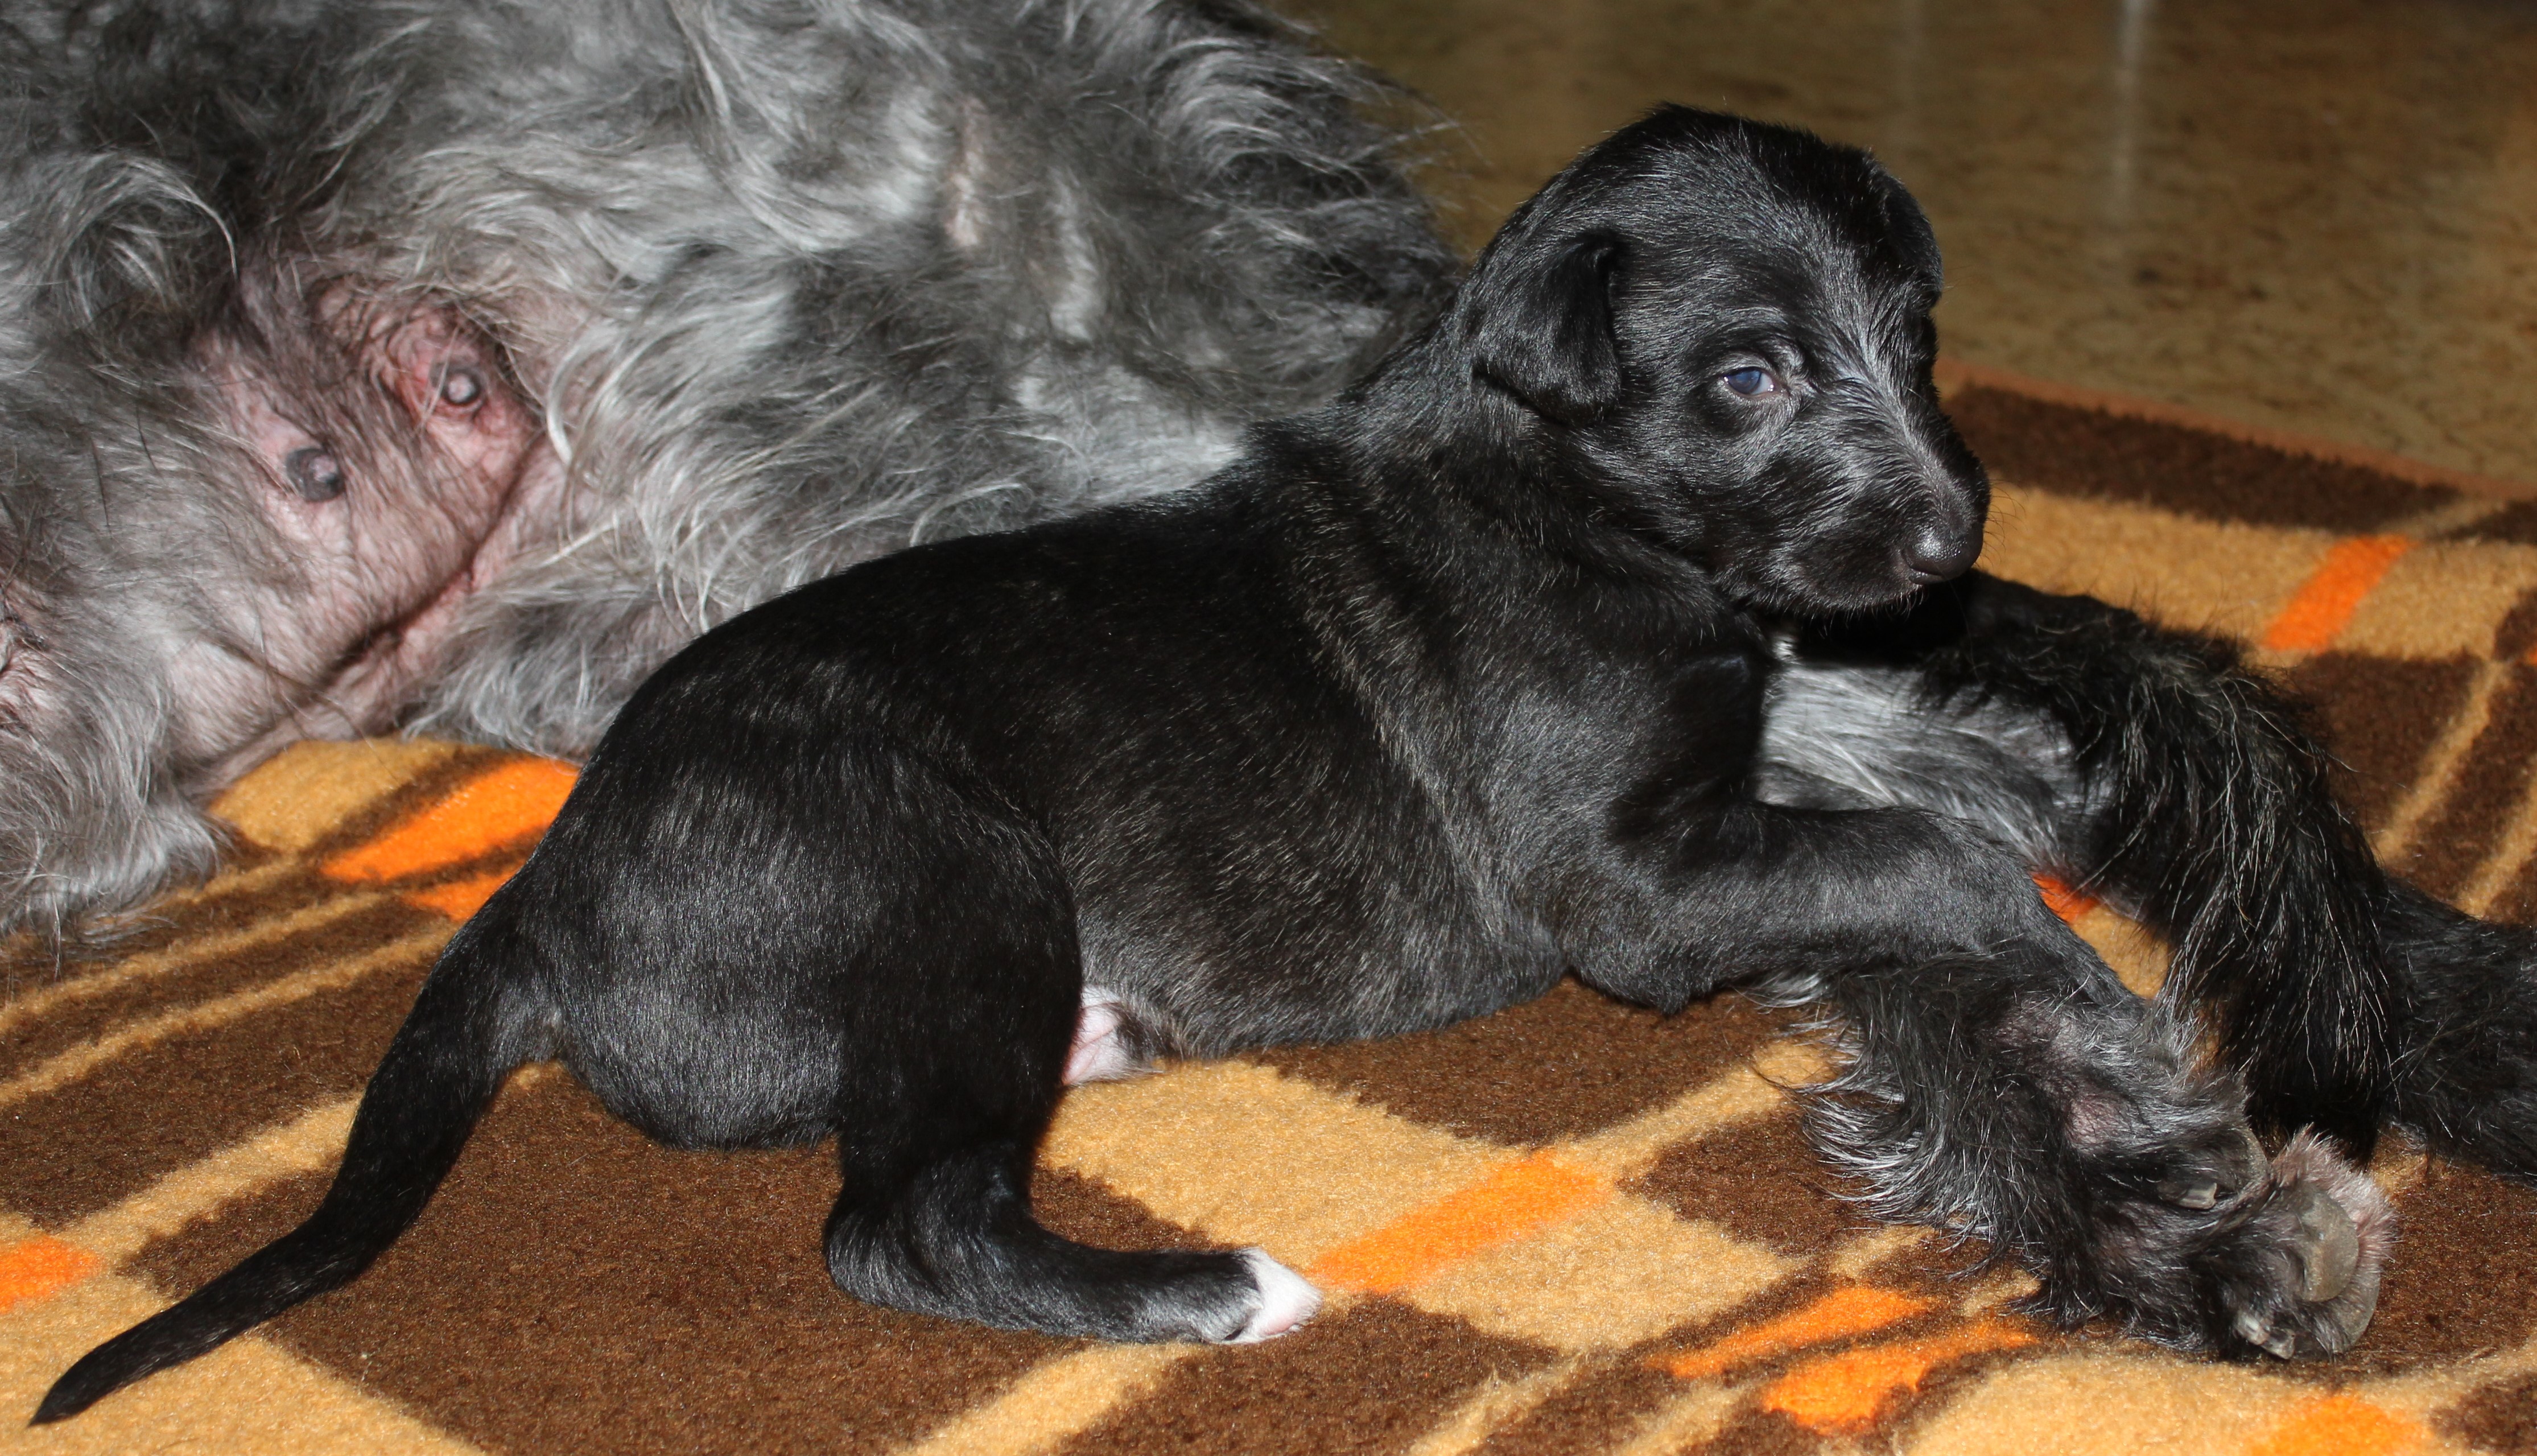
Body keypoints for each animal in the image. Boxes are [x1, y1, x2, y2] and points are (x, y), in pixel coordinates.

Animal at [42, 105, 2537, 1424]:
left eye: (1911, 338)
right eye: (1743, 376)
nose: (1942, 541)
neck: (1568, 496)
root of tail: (546, 892)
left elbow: (1918, 841)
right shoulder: (1634, 879)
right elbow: (1924, 852)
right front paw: (2086, 990)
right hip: (948, 869)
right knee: (892, 1223)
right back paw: (1206, 1293)